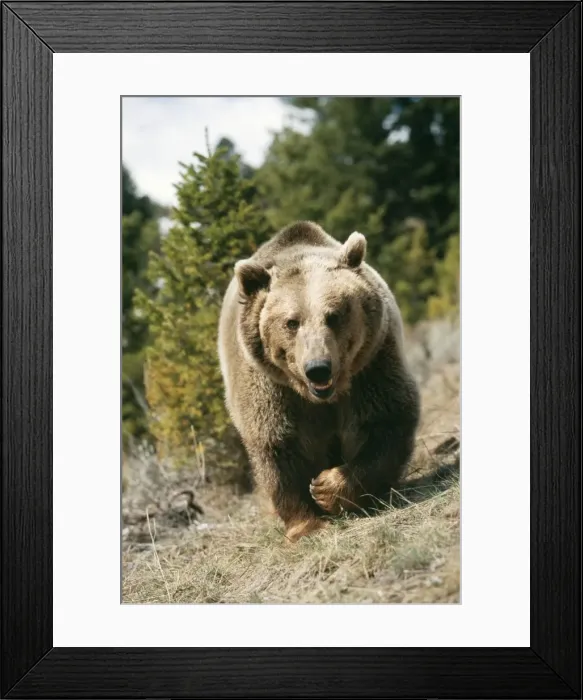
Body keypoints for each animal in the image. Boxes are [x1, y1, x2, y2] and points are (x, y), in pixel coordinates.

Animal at [218, 221, 420, 542]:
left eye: (334, 315)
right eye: (291, 322)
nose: (318, 369)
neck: (319, 397)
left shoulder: (372, 365)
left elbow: (385, 419)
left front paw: (328, 487)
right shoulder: (270, 385)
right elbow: (277, 443)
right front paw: (307, 524)